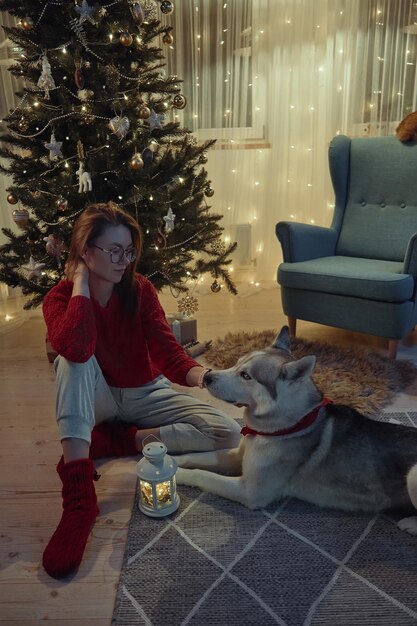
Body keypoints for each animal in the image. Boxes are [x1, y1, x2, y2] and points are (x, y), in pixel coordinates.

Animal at [176, 324, 417, 532]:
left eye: (246, 376)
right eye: (236, 363)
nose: (207, 376)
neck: (282, 427)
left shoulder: (250, 491)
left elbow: (201, 474)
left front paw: (177, 475)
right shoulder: (238, 456)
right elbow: (197, 456)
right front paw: (172, 460)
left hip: (412, 476)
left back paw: (409, 524)